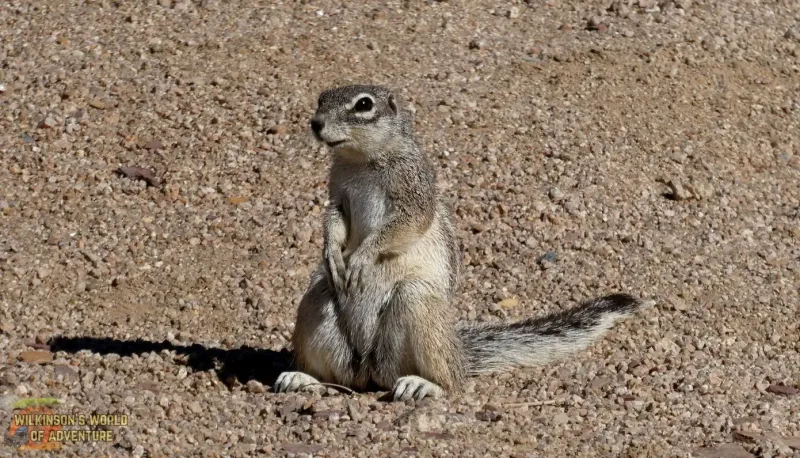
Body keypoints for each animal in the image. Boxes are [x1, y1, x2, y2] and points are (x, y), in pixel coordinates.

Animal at [274, 84, 653, 402]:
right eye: (321, 98)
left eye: (363, 105)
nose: (316, 124)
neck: (360, 161)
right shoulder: (337, 194)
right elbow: (332, 221)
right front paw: (332, 253)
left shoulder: (414, 193)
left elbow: (402, 227)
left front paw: (361, 258)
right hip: (318, 301)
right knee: (337, 376)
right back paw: (301, 378)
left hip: (416, 305)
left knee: (451, 382)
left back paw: (422, 385)